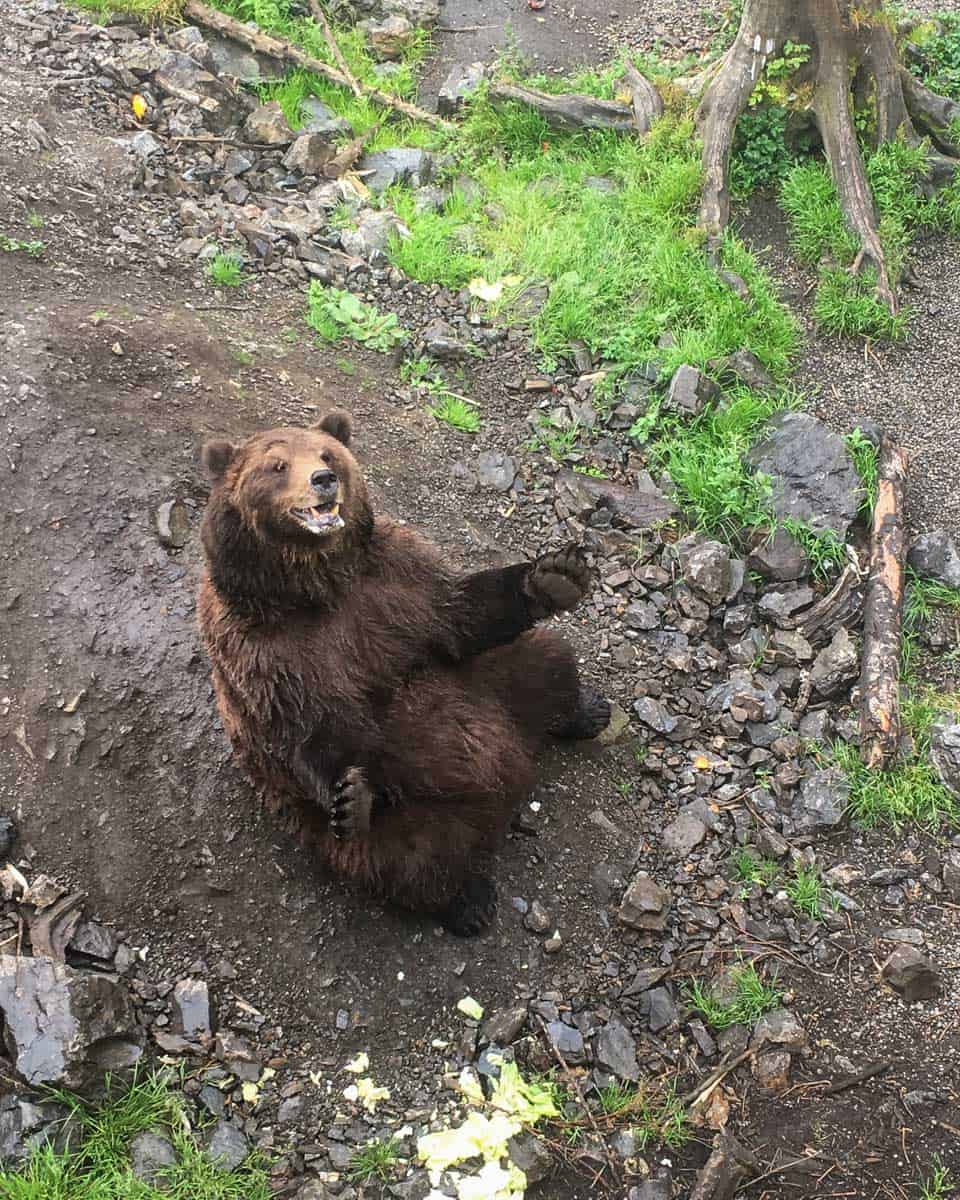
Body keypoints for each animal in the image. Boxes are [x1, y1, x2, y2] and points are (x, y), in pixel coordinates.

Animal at [197, 411, 610, 935]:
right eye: (277, 465)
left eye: (327, 453)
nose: (324, 480)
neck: (316, 586)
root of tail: (512, 788)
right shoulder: (268, 652)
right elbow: (308, 726)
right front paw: (351, 797)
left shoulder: (398, 580)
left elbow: (458, 613)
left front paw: (554, 576)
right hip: (411, 814)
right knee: (416, 859)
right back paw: (467, 902)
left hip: (493, 681)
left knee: (546, 661)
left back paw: (586, 712)